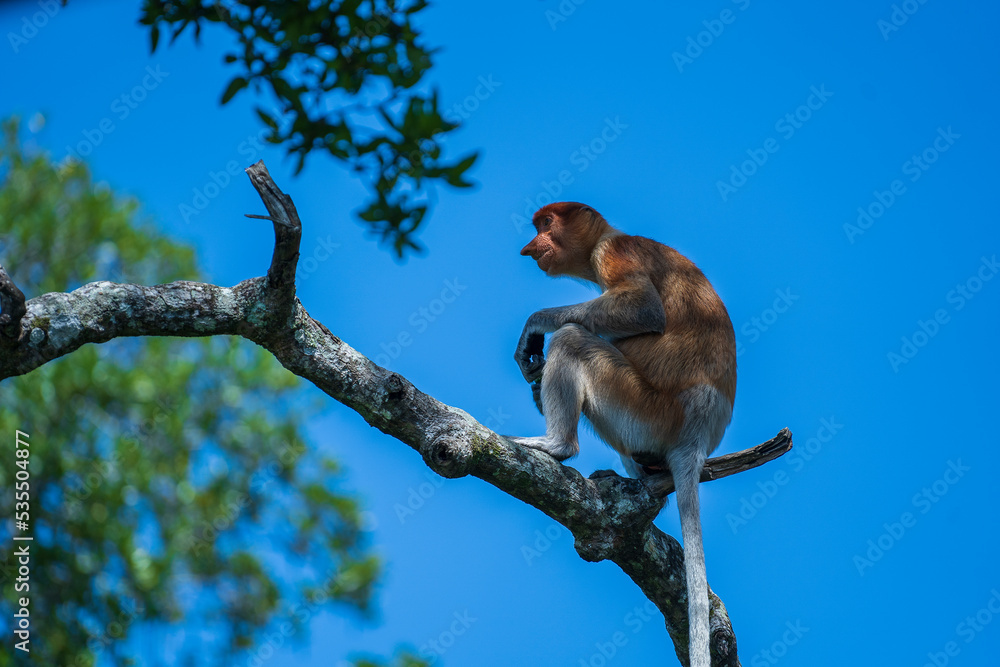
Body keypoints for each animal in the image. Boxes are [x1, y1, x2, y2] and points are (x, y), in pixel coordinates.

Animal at [507, 202, 736, 667]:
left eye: (546, 224)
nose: (529, 247)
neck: (606, 236)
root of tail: (697, 436)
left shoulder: (615, 253)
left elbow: (642, 308)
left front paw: (534, 329)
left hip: (645, 409)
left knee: (574, 338)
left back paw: (555, 445)